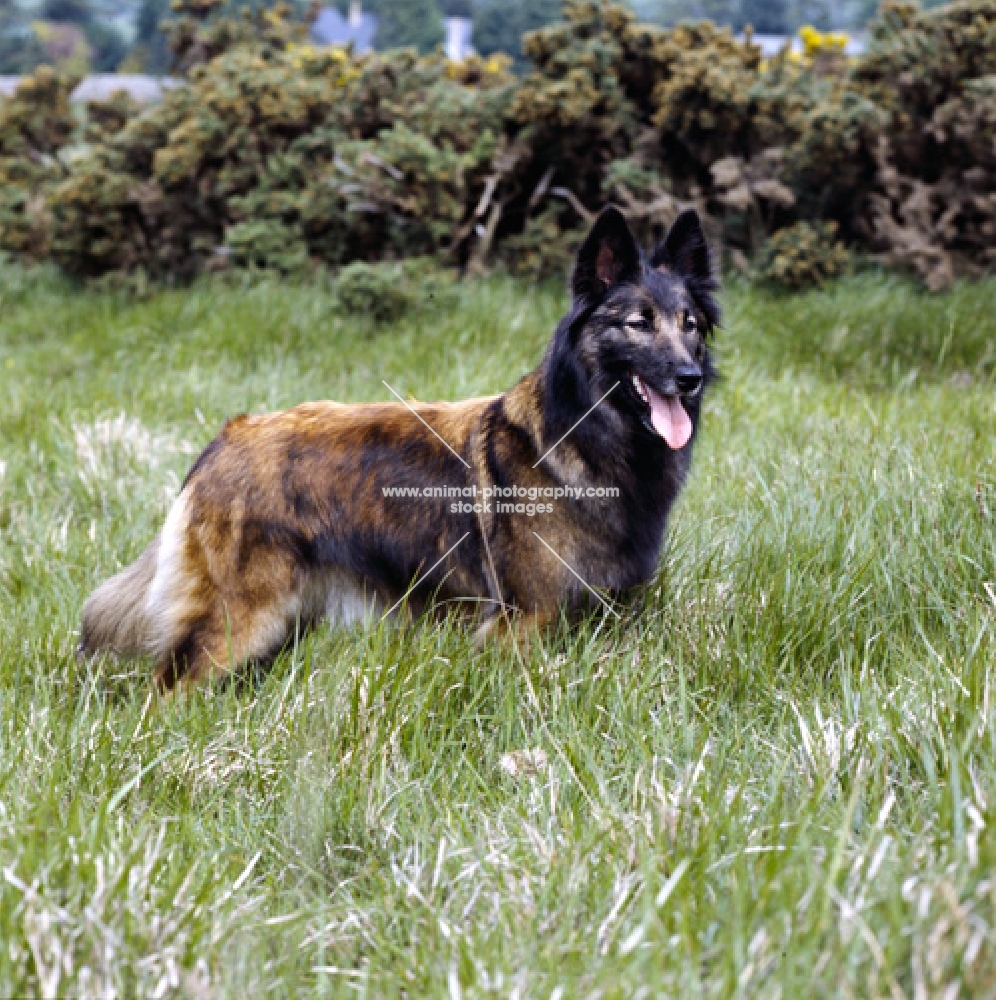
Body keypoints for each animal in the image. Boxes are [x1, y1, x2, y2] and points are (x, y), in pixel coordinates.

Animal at [78, 203, 716, 688]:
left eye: (690, 324)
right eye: (638, 323)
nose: (690, 378)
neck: (583, 437)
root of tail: (224, 438)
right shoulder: (522, 623)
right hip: (240, 621)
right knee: (168, 689)